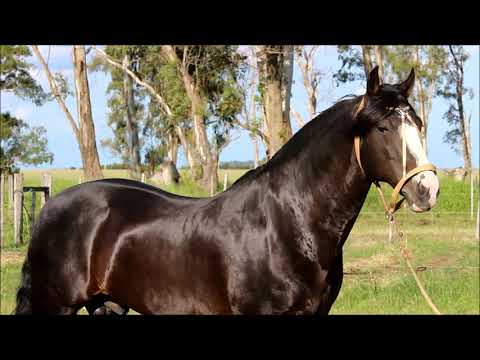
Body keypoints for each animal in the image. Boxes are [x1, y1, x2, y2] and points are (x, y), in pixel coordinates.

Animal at [14, 66, 438, 314]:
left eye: (417, 123)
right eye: (382, 127)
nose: (427, 188)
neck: (288, 225)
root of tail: (48, 208)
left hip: (107, 305)